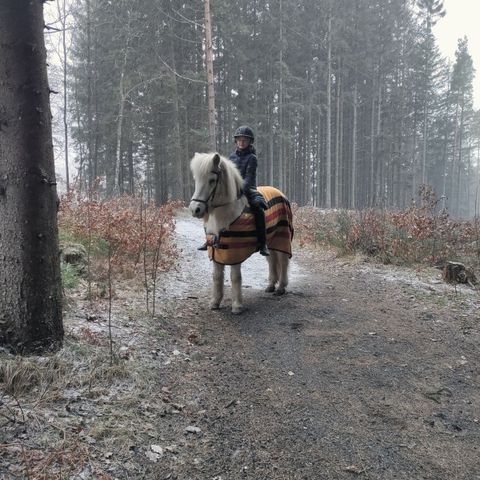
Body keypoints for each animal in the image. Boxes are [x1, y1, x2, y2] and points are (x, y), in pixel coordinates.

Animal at [189, 152, 294, 314]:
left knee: (283, 261)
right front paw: (215, 302)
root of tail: (280, 193)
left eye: (212, 180)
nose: (195, 209)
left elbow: (235, 277)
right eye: (196, 179)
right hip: (270, 240)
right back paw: (271, 285)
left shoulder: (234, 253)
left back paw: (281, 287)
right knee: (271, 260)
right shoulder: (216, 251)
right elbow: (217, 276)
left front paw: (237, 306)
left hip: (282, 237)